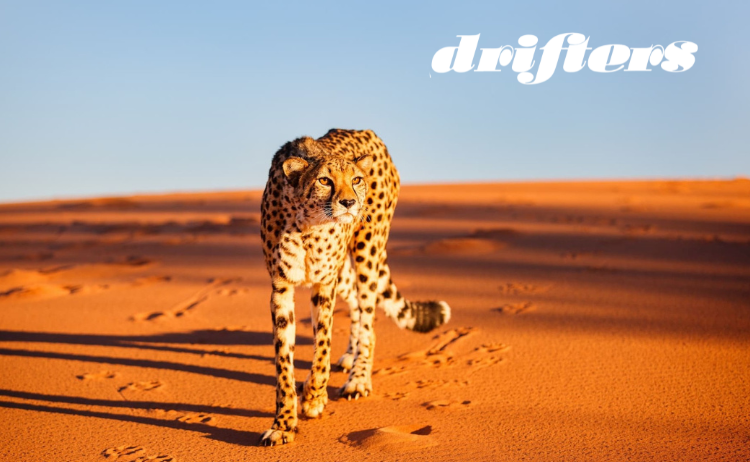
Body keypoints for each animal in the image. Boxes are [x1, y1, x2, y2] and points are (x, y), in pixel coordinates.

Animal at [258, 128, 451, 446]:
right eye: (324, 180)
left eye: (356, 180)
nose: (349, 203)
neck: (307, 224)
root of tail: (368, 133)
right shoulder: (281, 286)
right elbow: (284, 362)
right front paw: (284, 424)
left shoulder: (325, 283)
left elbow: (322, 349)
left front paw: (314, 397)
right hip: (346, 268)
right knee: (358, 307)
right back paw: (350, 356)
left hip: (367, 251)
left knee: (369, 318)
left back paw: (358, 379)